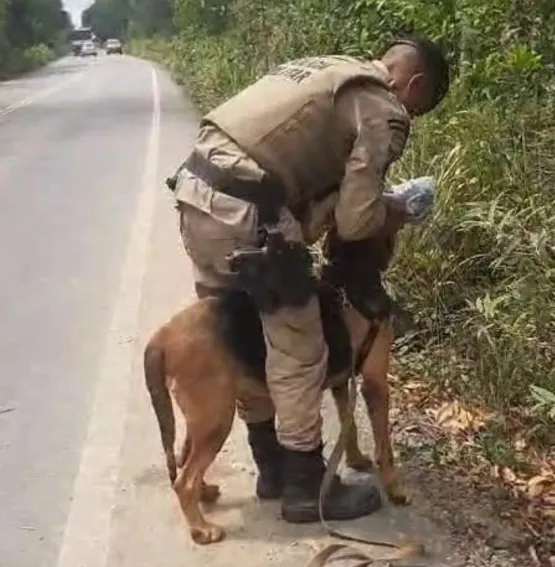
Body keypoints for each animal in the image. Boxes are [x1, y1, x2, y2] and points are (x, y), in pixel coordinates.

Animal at [144, 266, 408, 544]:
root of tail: (161, 338)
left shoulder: (342, 382)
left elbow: (350, 428)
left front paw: (357, 459)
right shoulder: (375, 382)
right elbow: (385, 449)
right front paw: (395, 488)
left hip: (203, 417)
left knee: (184, 460)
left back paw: (204, 495)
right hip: (216, 419)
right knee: (184, 481)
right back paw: (202, 529)